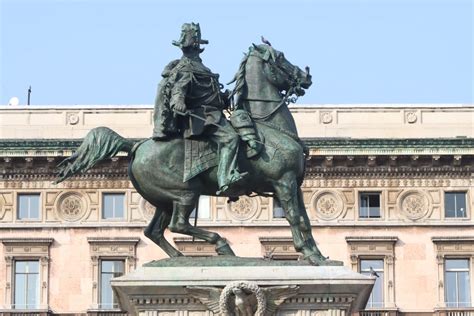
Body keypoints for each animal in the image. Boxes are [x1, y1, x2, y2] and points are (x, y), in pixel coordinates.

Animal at [55, 40, 338, 266]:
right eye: (280, 58)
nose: (306, 77)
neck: (268, 126)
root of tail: (135, 146)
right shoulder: (283, 182)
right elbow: (294, 217)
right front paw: (309, 255)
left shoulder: (295, 185)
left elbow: (305, 219)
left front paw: (319, 256)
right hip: (185, 193)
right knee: (177, 225)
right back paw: (220, 245)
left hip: (165, 199)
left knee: (154, 231)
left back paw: (179, 257)